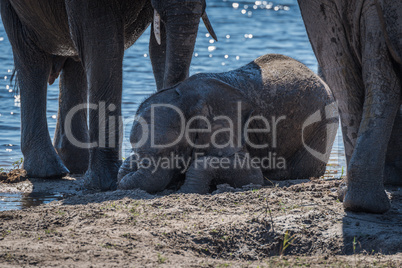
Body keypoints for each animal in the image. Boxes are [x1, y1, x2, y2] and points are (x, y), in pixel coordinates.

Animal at [0, 1, 217, 192]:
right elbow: (102, 44)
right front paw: (107, 184)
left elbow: (159, 45)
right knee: (31, 58)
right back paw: (49, 172)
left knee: (75, 62)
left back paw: (77, 165)